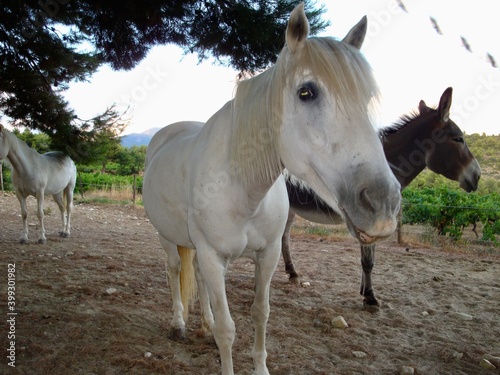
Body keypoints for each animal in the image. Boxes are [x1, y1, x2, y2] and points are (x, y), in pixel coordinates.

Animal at [143, 3, 400, 375]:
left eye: (366, 98)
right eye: (306, 92)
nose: (382, 204)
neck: (243, 188)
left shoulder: (267, 255)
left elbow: (260, 314)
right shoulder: (212, 255)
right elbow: (228, 329)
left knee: (198, 281)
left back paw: (203, 325)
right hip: (167, 236)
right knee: (175, 271)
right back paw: (179, 323)